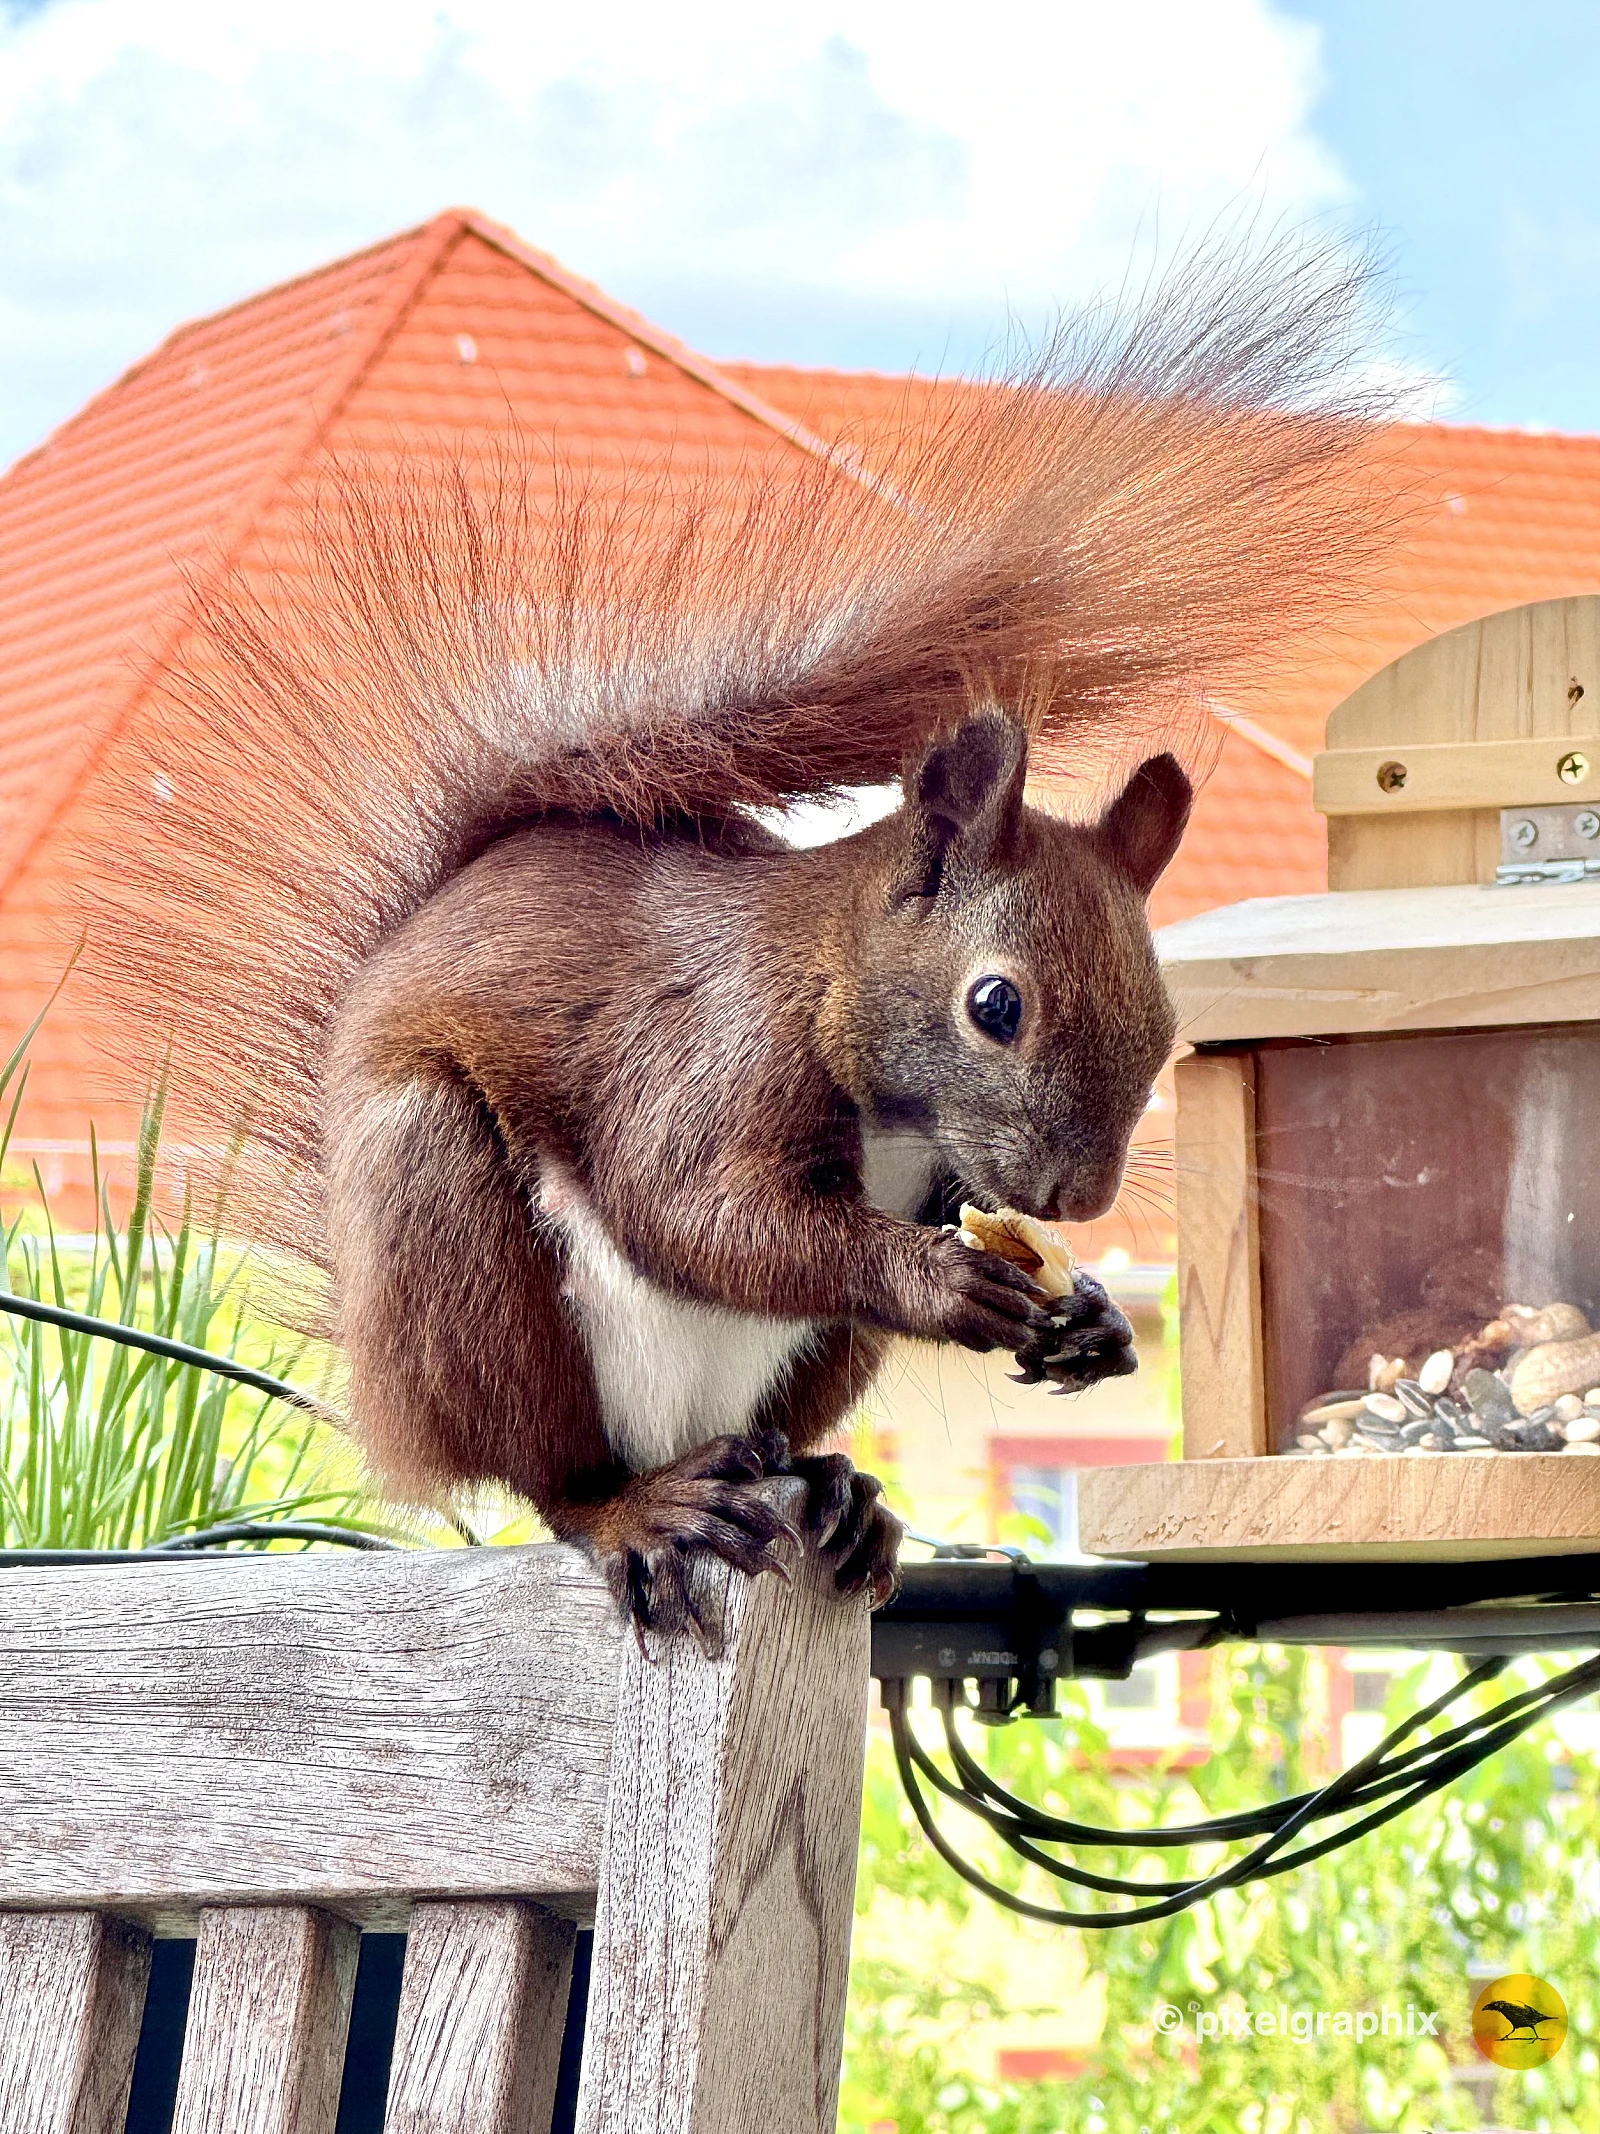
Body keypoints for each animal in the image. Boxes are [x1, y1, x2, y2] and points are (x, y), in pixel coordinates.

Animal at [76, 234, 1396, 1635]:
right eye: (995, 1004)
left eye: (1164, 1022)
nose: (1074, 1199)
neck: (849, 1019)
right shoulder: (715, 1047)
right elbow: (690, 1207)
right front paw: (941, 1283)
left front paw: (1088, 1316)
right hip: (452, 1234)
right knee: (549, 1471)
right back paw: (635, 1507)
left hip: (811, 1360)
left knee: (775, 1431)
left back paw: (837, 1492)